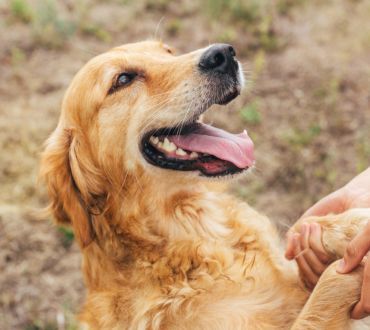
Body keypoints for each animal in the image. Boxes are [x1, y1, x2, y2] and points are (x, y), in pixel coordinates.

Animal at [40, 42, 370, 330]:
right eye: (123, 79)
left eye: (167, 51)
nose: (223, 54)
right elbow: (330, 284)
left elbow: (302, 228)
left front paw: (351, 226)